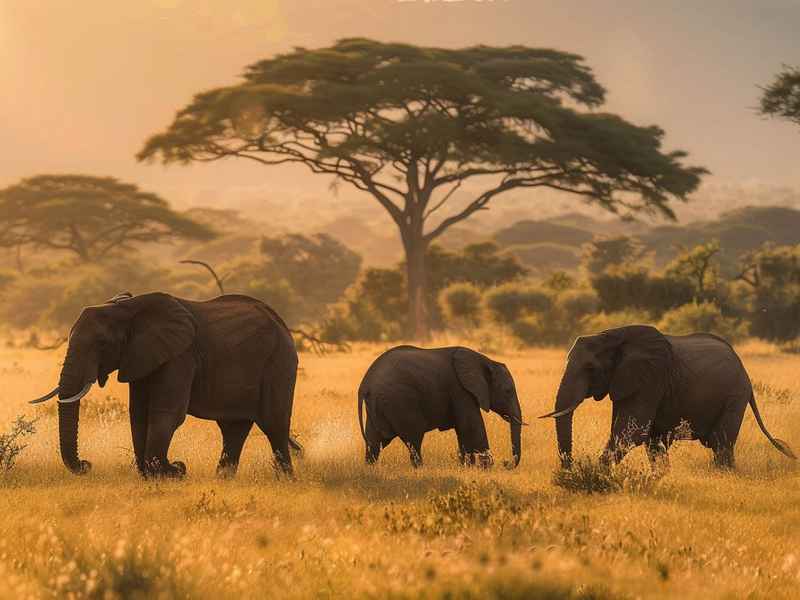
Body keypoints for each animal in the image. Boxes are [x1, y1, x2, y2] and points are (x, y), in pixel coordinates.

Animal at [30, 291, 300, 478]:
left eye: (102, 344)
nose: (86, 464)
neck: (128, 308)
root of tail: (282, 323)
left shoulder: (180, 355)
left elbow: (166, 413)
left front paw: (168, 473)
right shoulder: (140, 357)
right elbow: (138, 413)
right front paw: (151, 474)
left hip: (279, 363)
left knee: (274, 424)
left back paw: (285, 481)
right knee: (233, 428)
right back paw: (223, 480)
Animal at [357, 345, 524, 468]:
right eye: (508, 391)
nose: (506, 463)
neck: (486, 361)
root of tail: (365, 383)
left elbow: (463, 429)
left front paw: (467, 467)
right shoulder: (460, 390)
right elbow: (471, 425)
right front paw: (485, 468)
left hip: (377, 406)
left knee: (374, 442)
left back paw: (370, 469)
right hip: (400, 401)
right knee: (414, 439)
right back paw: (420, 469)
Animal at [541, 325, 796, 469]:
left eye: (590, 368)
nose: (570, 468)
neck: (611, 336)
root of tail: (744, 369)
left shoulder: (651, 377)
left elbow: (632, 432)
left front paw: (594, 474)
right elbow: (635, 433)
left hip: (735, 395)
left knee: (721, 443)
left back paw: (725, 475)